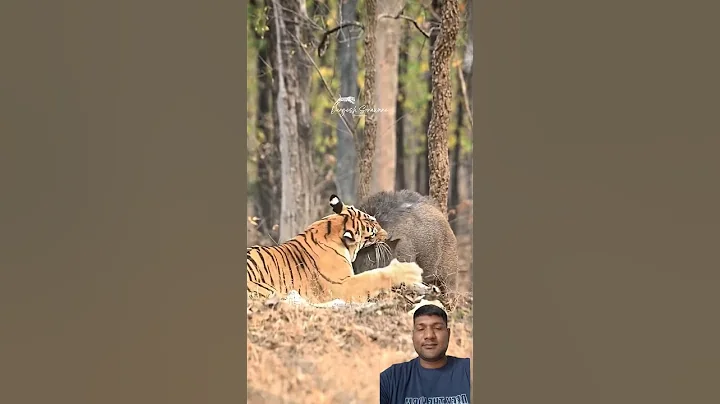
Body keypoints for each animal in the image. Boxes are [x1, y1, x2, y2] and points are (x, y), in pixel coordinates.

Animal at [246, 194, 425, 304]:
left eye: (375, 220)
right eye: (373, 233)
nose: (387, 234)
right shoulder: (342, 285)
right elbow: (374, 275)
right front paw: (410, 271)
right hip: (267, 290)